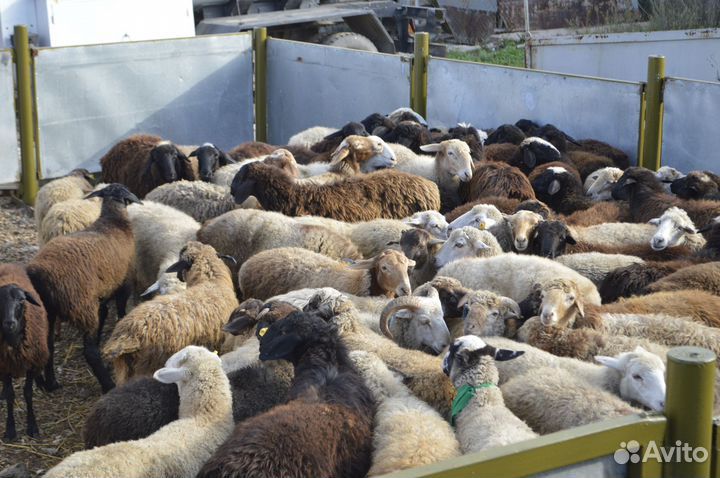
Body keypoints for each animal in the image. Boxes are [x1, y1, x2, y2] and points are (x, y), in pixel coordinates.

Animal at [0, 265, 48, 441]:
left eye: (21, 300)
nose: (9, 323)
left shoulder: (32, 364)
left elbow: (28, 393)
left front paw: (32, 426)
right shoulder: (4, 366)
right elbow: (10, 395)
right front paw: (10, 429)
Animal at [27, 184, 140, 393]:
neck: (113, 222)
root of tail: (38, 274)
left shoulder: (101, 297)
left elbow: (103, 317)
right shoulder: (124, 286)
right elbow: (120, 312)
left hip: (49, 311)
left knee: (47, 345)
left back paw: (50, 383)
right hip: (82, 305)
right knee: (89, 352)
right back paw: (108, 385)